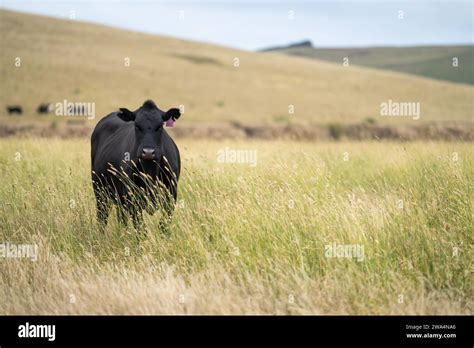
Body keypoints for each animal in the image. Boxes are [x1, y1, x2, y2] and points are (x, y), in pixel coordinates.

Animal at [90, 100, 181, 231]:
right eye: (137, 126)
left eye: (160, 126)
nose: (148, 152)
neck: (150, 172)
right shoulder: (132, 199)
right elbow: (140, 228)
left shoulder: (171, 195)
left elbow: (163, 225)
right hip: (100, 192)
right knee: (102, 218)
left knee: (121, 218)